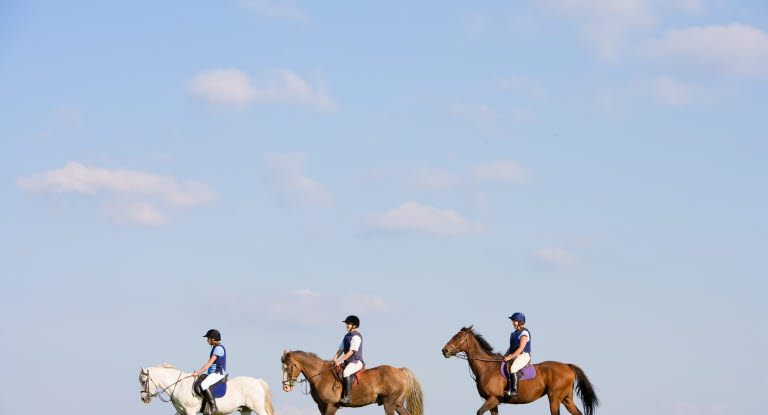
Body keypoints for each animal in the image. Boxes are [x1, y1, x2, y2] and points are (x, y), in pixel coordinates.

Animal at [140, 364, 274, 415]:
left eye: (143, 381)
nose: (143, 399)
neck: (179, 386)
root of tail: (257, 381)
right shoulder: (181, 412)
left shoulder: (190, 411)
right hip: (245, 410)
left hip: (257, 408)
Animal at [282, 352, 426, 415]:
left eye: (288, 367)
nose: (286, 387)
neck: (321, 375)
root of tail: (400, 370)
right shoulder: (321, 407)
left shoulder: (331, 405)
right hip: (397, 404)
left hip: (389, 403)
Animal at [440, 328, 596, 415]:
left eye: (459, 337)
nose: (444, 351)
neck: (486, 368)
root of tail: (567, 366)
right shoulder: (493, 403)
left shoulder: (493, 399)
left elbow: (479, 412)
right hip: (566, 399)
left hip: (554, 398)